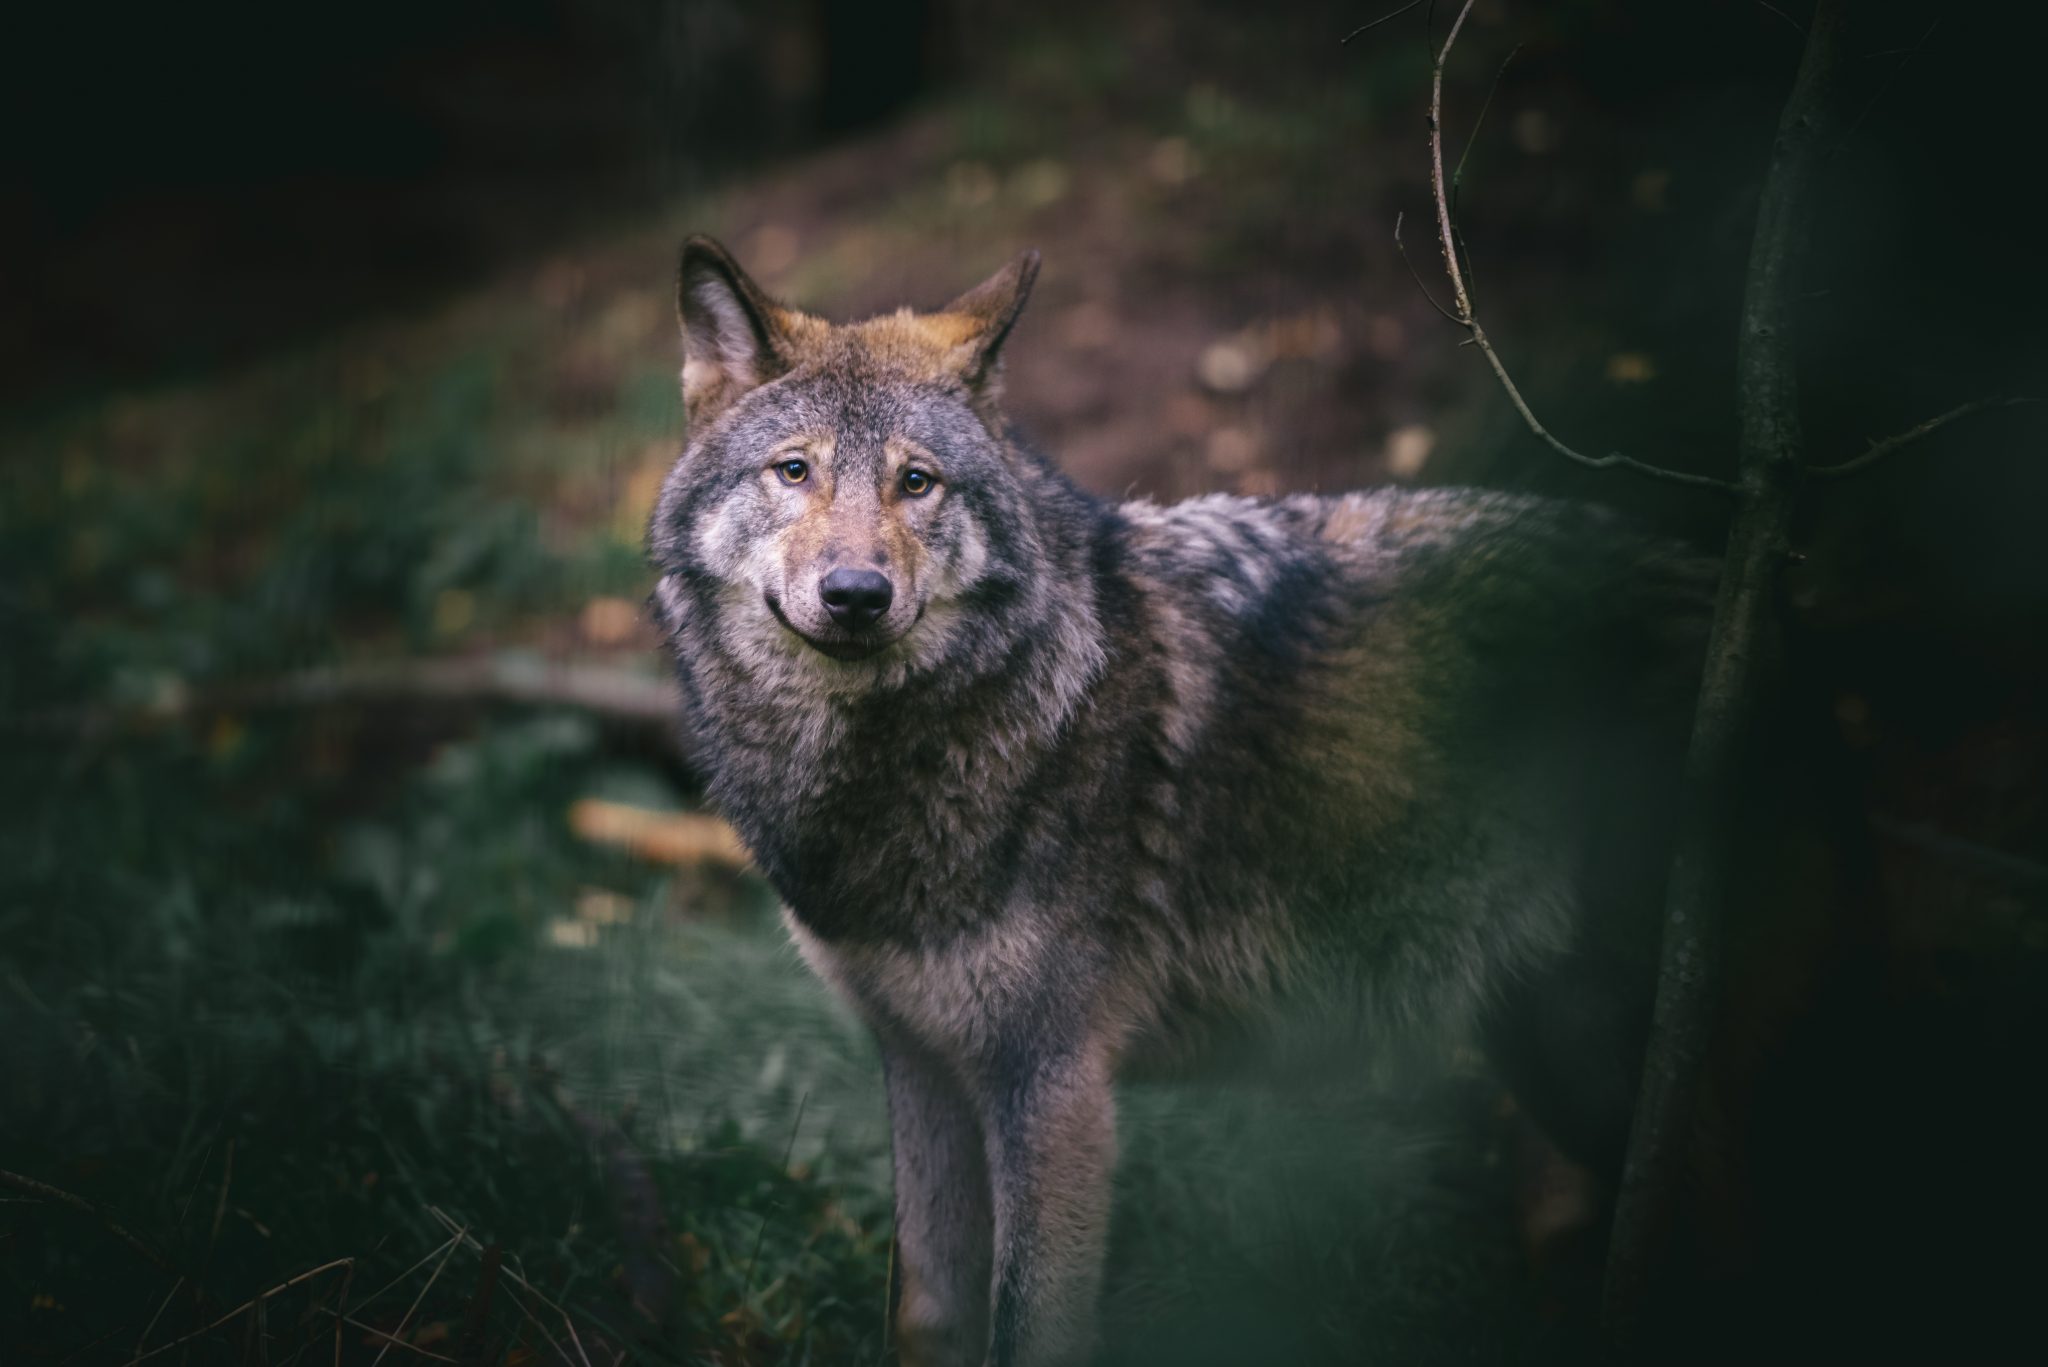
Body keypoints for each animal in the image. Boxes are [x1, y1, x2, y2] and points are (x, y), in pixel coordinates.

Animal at [647, 237, 1712, 1366]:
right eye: (793, 469)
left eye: (917, 481)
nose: (856, 594)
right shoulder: (922, 1061)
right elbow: (928, 1314)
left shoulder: (1054, 1083)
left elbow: (1028, 1327)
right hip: (1555, 1046)